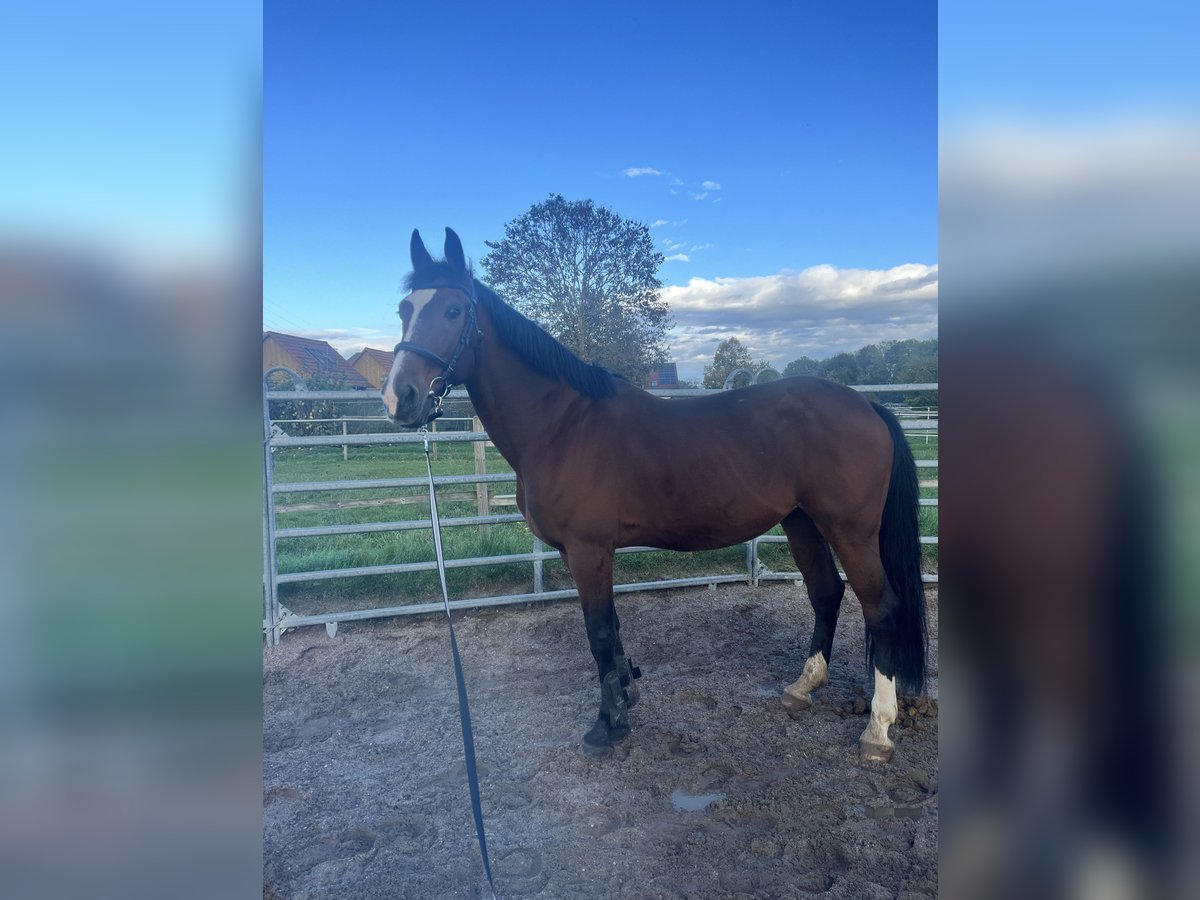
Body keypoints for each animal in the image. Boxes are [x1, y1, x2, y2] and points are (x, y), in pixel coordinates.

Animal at [384, 229, 926, 763]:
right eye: (405, 309)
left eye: (454, 310)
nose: (399, 398)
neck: (563, 426)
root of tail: (868, 406)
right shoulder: (581, 553)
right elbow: (613, 628)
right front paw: (626, 696)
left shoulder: (589, 550)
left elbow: (599, 634)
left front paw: (607, 727)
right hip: (801, 521)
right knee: (826, 592)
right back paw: (804, 686)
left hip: (850, 530)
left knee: (880, 607)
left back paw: (877, 729)